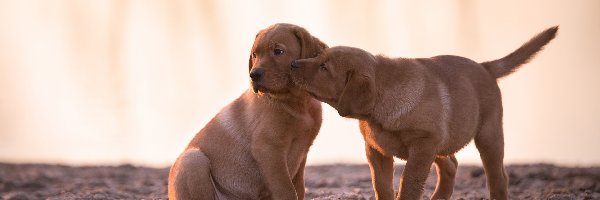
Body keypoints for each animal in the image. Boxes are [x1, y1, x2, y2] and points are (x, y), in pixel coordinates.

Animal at [168, 22, 328, 199]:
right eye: (255, 55)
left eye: (278, 51)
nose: (253, 75)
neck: (297, 103)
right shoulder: (268, 149)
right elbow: (286, 189)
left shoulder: (302, 152)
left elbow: (298, 188)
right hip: (193, 159)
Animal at [290, 27, 556, 200]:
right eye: (318, 57)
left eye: (324, 67)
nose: (293, 64)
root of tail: (484, 67)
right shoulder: (376, 150)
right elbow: (382, 185)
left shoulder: (422, 145)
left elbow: (409, 183)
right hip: (443, 140)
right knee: (450, 165)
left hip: (488, 135)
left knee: (497, 177)